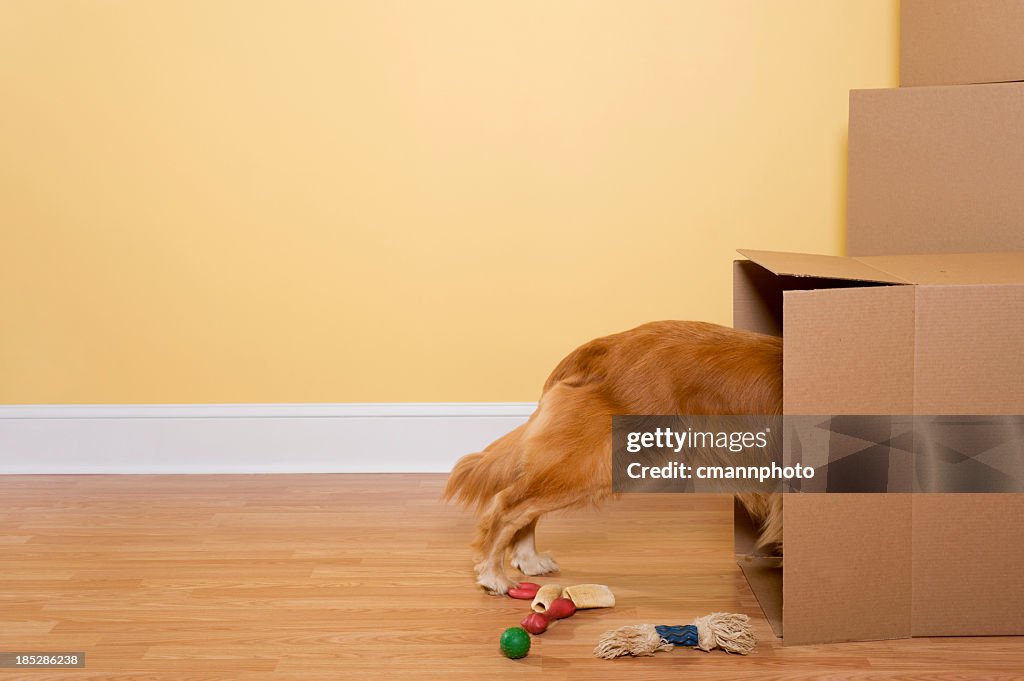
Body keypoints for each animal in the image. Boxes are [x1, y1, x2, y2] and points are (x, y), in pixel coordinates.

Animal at [442, 319, 782, 589]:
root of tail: (601, 345)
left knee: (526, 504)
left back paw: (529, 560)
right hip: (599, 462)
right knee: (508, 504)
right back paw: (493, 574)